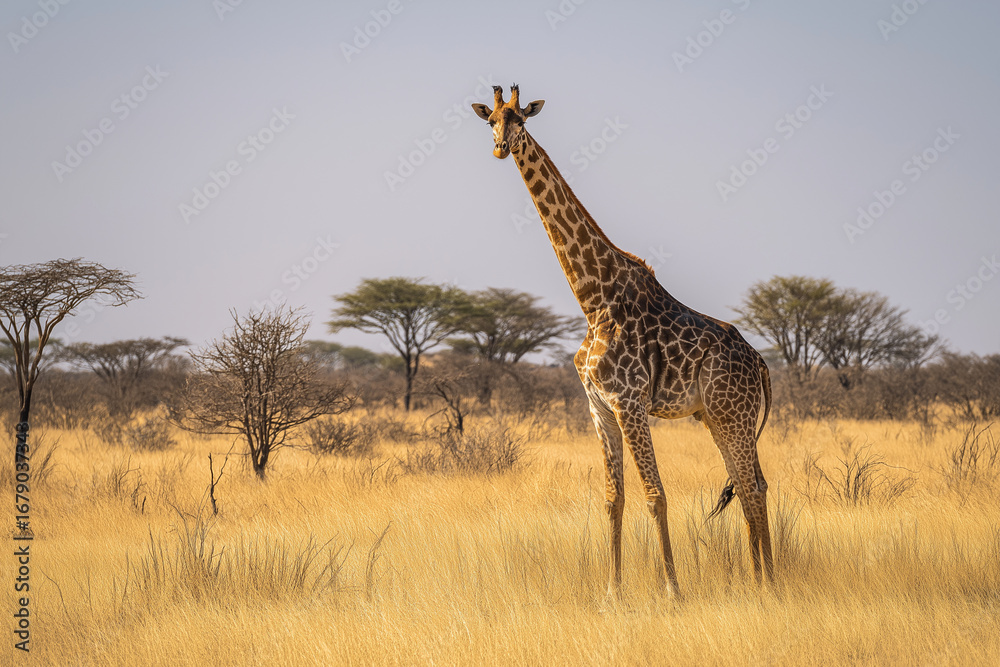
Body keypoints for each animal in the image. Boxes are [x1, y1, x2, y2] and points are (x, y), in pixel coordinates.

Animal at [472, 85, 773, 598]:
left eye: (521, 120)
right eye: (490, 119)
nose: (499, 147)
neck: (593, 299)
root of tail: (763, 367)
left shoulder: (629, 401)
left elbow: (656, 494)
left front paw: (672, 590)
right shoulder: (598, 405)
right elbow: (614, 498)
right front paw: (612, 590)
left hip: (733, 414)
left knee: (751, 488)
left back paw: (767, 585)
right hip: (716, 416)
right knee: (753, 482)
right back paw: (762, 578)